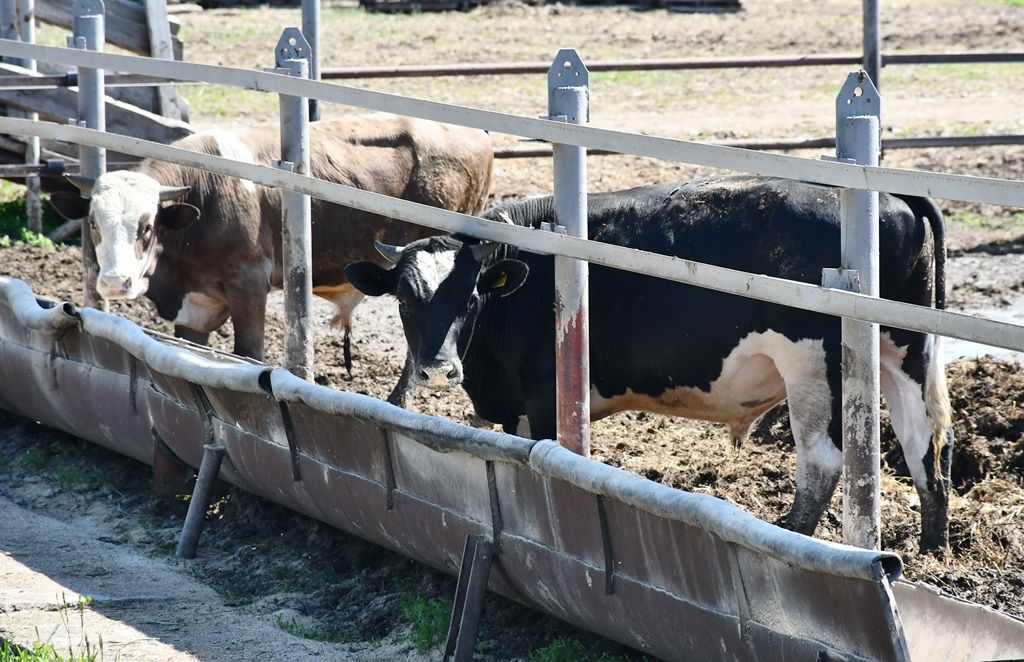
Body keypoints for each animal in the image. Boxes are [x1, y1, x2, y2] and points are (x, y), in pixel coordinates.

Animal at [49, 114, 493, 373]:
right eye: (93, 223)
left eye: (146, 226)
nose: (114, 282)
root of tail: (474, 132)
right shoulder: (196, 306)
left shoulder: (249, 282)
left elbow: (247, 354)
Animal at [344, 175, 950, 549]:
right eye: (404, 300)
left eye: (469, 300)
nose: (436, 367)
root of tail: (891, 199)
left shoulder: (544, 399)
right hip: (904, 350)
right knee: (924, 445)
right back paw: (932, 549)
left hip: (813, 365)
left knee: (822, 460)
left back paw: (791, 532)